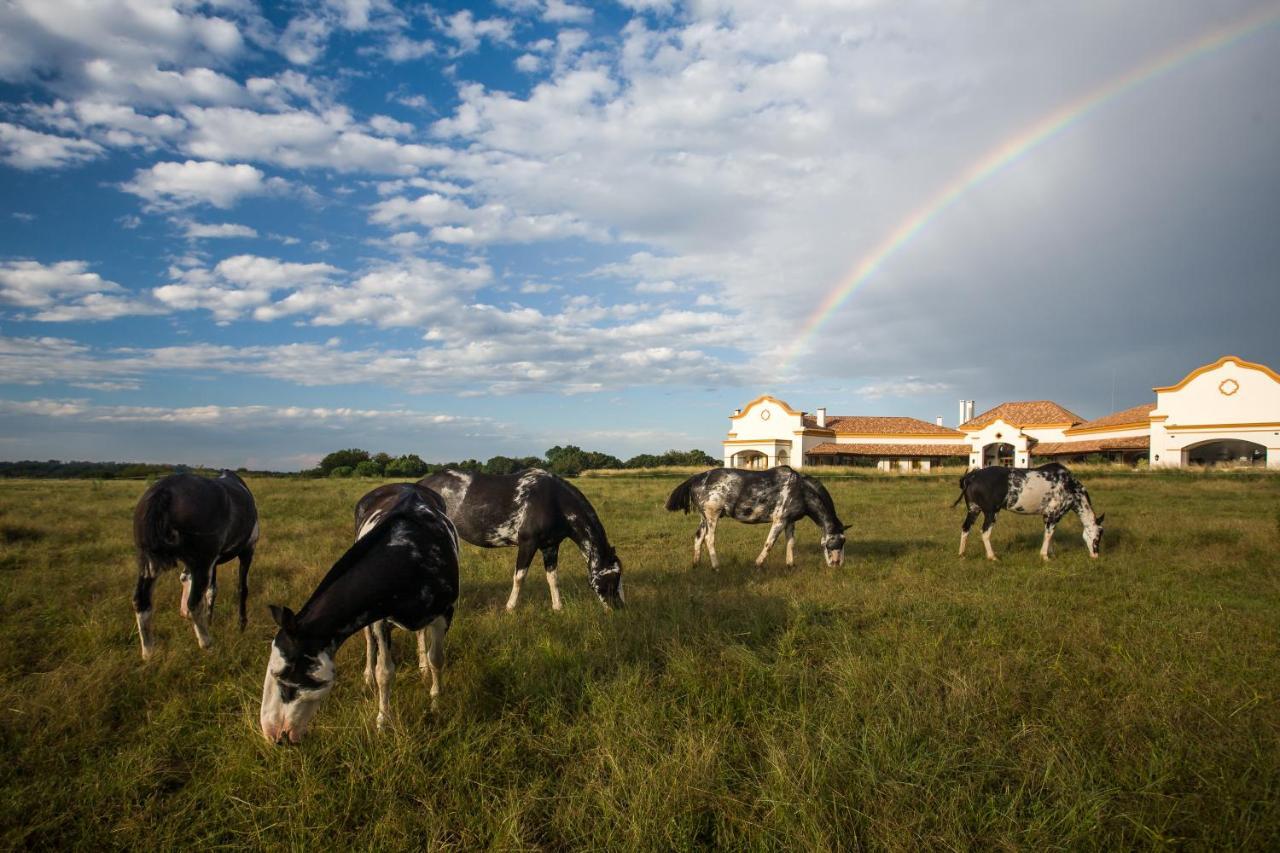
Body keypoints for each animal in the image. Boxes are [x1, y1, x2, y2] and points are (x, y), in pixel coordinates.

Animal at [131, 466, 258, 655]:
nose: (182, 613)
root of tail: (164, 491)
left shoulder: (213, 563)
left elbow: (211, 590)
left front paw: (210, 620)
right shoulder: (247, 551)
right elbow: (242, 589)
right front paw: (241, 625)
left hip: (149, 564)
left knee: (142, 602)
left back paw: (149, 653)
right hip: (201, 563)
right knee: (194, 603)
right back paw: (207, 643)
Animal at [259, 481, 460, 742]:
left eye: (283, 674)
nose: (271, 733)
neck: (412, 554)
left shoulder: (444, 612)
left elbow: (437, 659)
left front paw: (436, 703)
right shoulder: (380, 619)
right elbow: (384, 672)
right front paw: (383, 721)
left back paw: (422, 666)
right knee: (369, 642)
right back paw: (367, 677)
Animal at [417, 466, 622, 612]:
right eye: (614, 577)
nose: (619, 608)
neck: (554, 501)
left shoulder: (550, 546)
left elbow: (553, 577)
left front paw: (558, 607)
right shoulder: (528, 544)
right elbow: (519, 577)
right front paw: (510, 607)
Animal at [665, 461, 844, 568]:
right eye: (838, 542)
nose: (837, 564)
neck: (801, 489)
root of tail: (696, 478)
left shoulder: (789, 521)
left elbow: (791, 543)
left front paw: (790, 564)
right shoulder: (779, 521)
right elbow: (769, 543)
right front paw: (757, 564)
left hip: (703, 518)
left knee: (698, 538)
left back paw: (696, 564)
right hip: (712, 517)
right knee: (709, 539)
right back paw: (716, 567)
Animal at [957, 461, 1105, 560]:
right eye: (1098, 535)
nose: (1096, 555)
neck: (1069, 485)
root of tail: (973, 475)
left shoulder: (1047, 516)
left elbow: (1049, 534)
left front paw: (1051, 553)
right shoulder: (1054, 515)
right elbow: (1049, 534)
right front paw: (1045, 556)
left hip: (974, 510)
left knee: (965, 528)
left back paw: (962, 554)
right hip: (991, 513)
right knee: (985, 533)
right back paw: (992, 556)